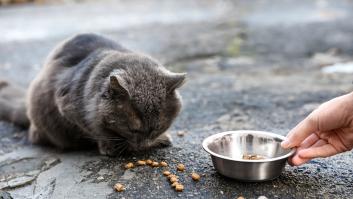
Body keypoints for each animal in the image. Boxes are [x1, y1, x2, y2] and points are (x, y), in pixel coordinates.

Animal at [0, 33, 186, 155]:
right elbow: (96, 129)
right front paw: (111, 147)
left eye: (157, 128)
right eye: (132, 129)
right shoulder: (68, 107)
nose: (142, 146)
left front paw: (161, 138)